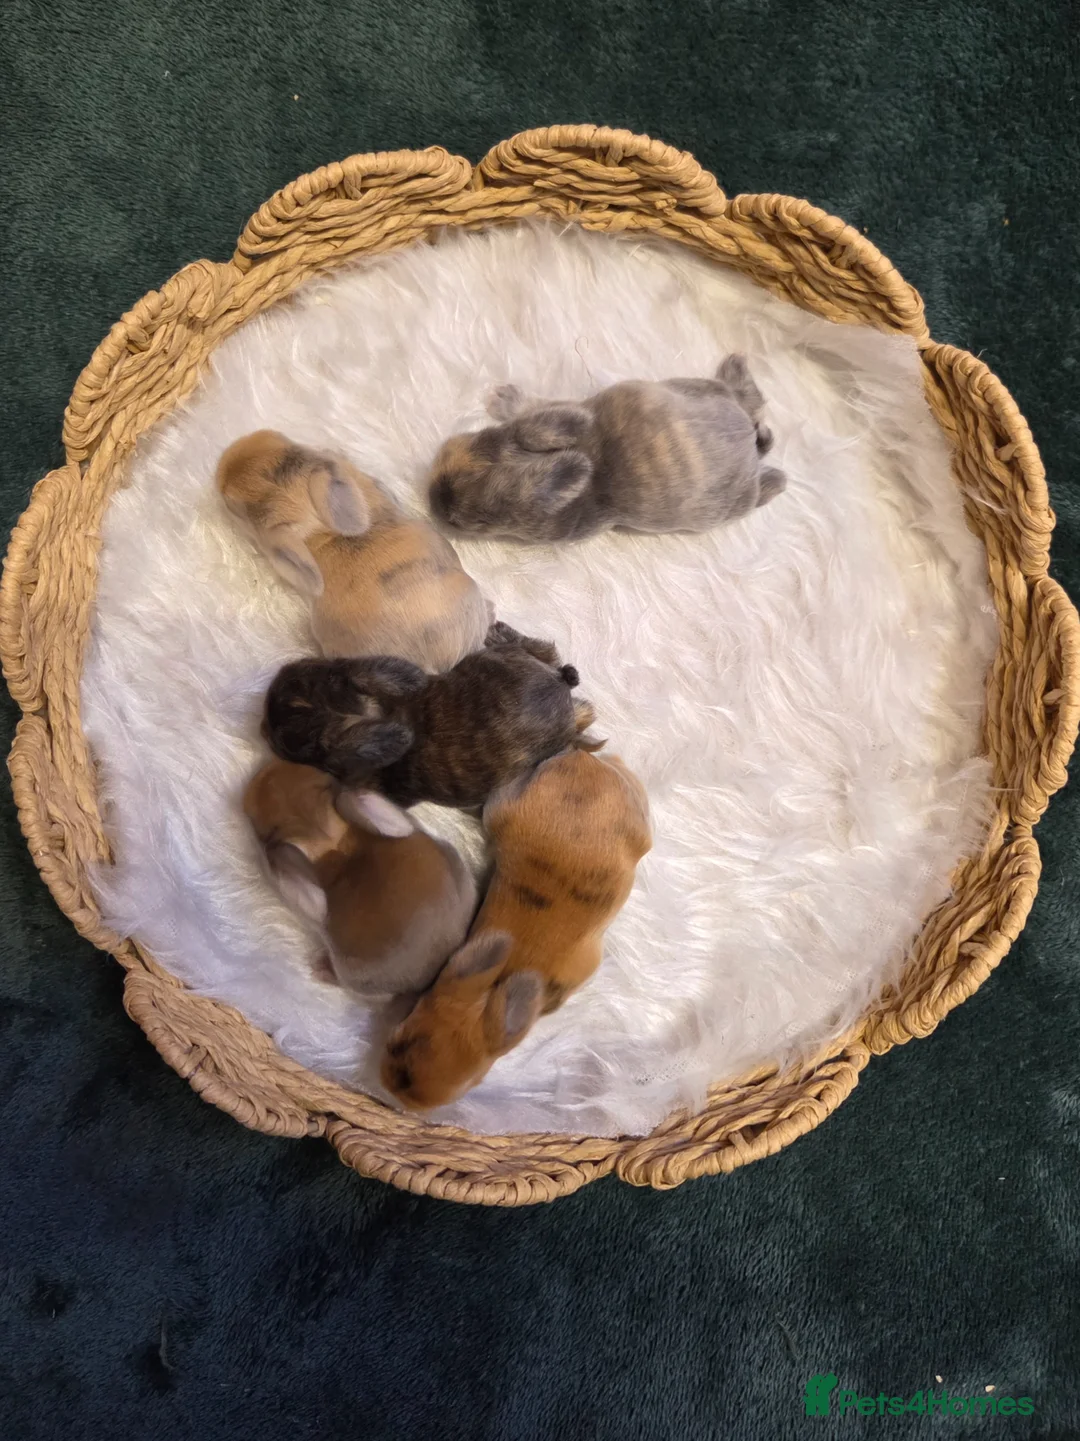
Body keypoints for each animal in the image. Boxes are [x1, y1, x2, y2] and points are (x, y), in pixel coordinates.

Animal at [262, 622, 602, 810]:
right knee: (547, 653)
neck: (371, 712)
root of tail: (556, 686)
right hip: (507, 659)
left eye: (286, 744)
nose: (262, 724)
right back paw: (503, 634)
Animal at [428, 353, 787, 543]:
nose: (433, 497)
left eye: (465, 522)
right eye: (482, 438)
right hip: (699, 390)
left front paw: (502, 398)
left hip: (737, 501)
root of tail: (749, 445)